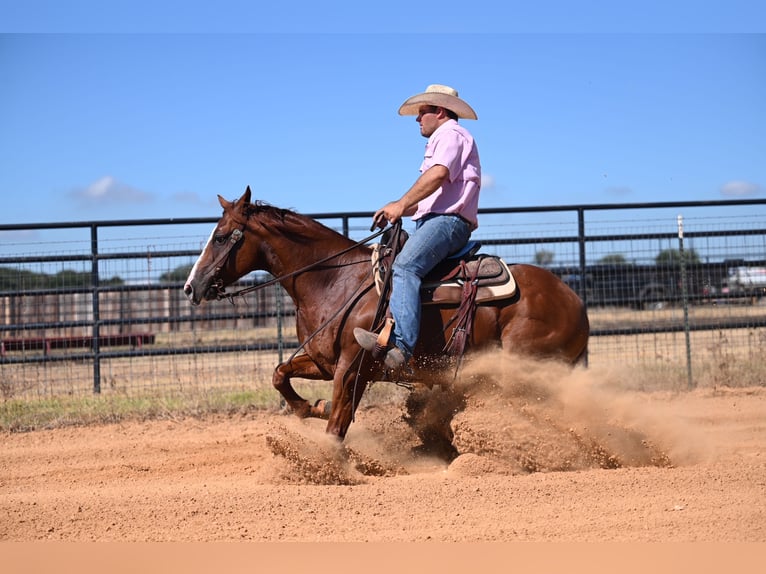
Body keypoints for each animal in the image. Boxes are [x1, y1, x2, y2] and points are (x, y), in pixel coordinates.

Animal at [183, 188, 592, 440]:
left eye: (222, 236)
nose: (190, 286)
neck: (336, 280)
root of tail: (575, 301)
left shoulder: (353, 367)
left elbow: (339, 420)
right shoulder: (323, 361)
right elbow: (280, 374)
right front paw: (311, 407)